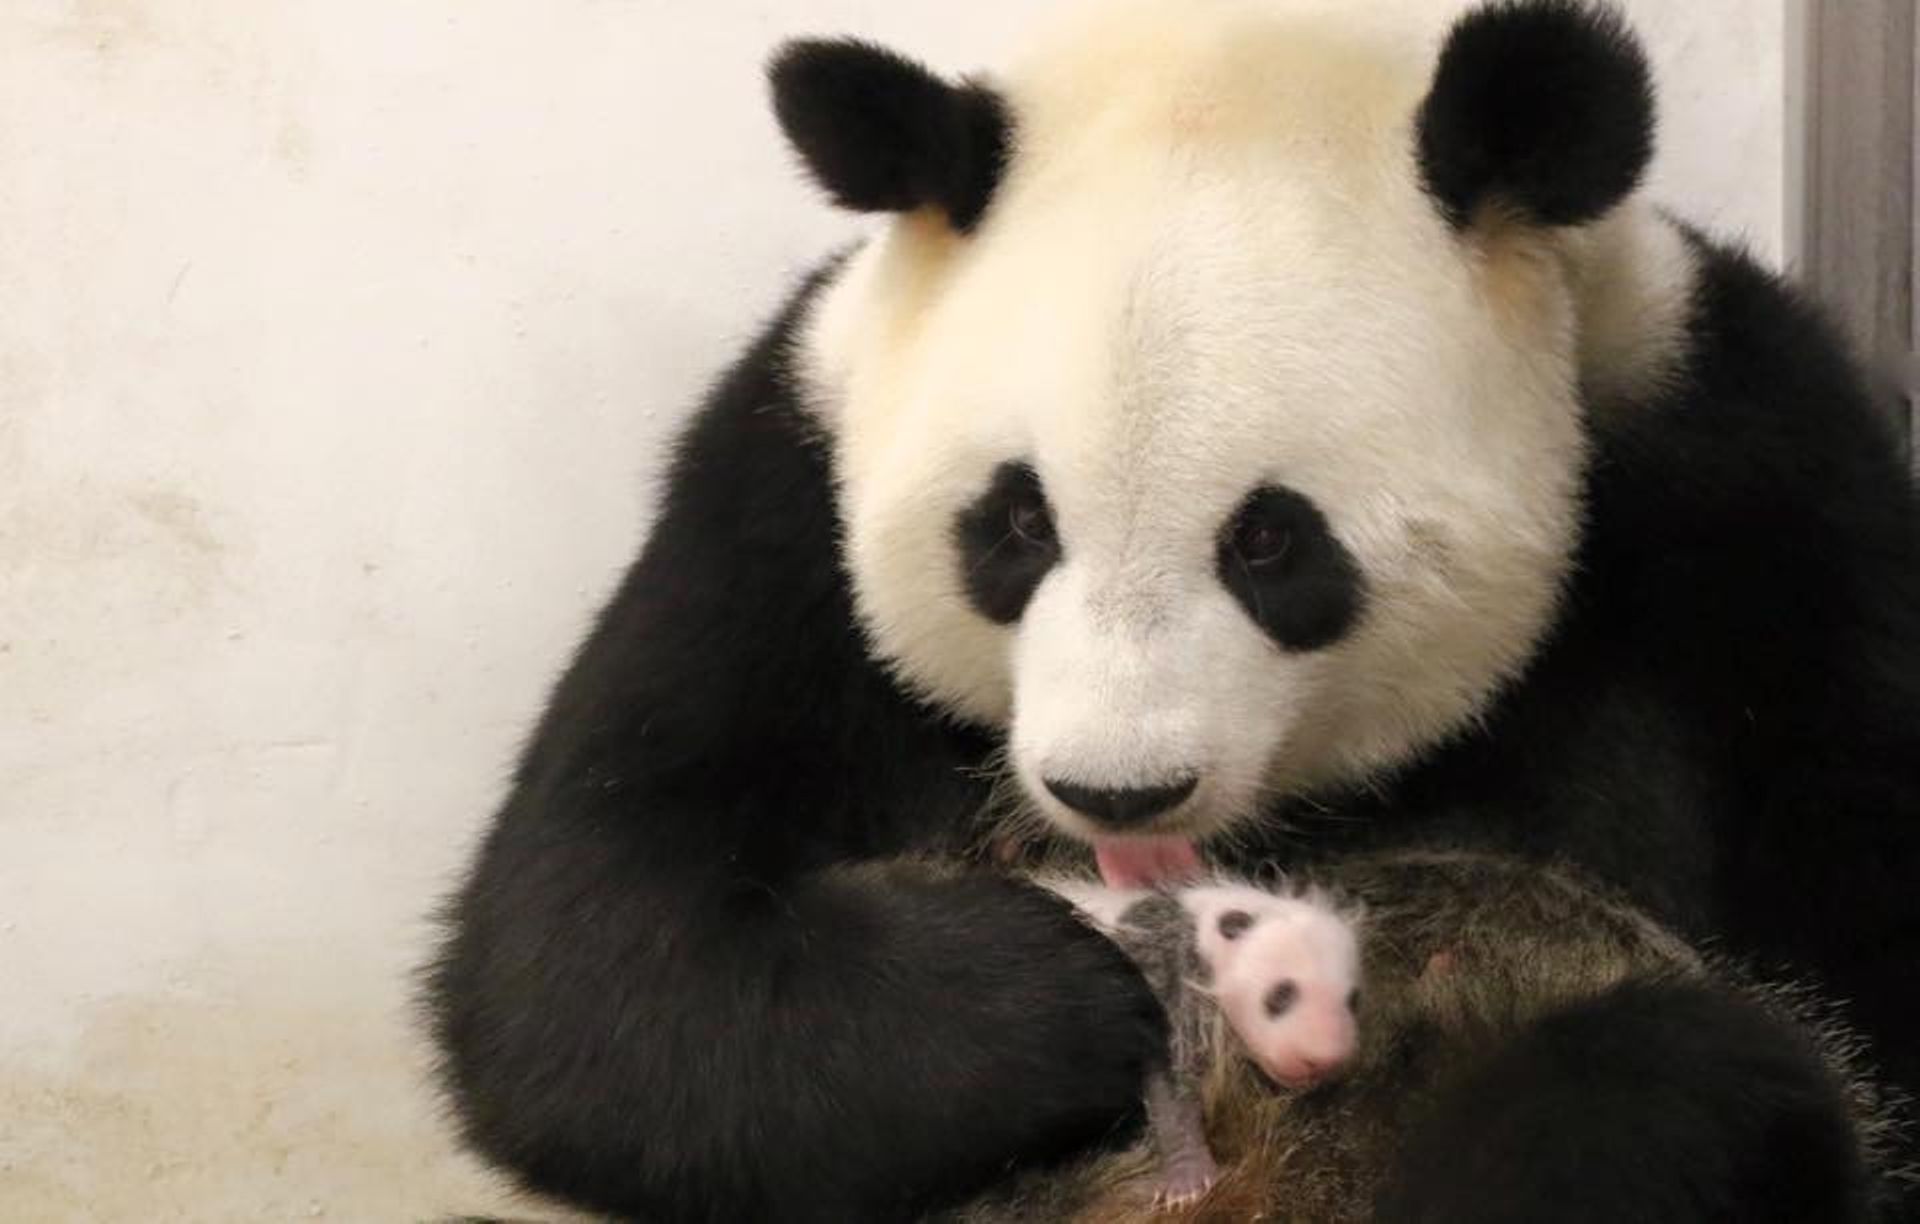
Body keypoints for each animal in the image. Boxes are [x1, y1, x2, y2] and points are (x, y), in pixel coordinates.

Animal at [425, 0, 1920, 1220]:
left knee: (1678, 1079)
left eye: (1269, 541)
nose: (1118, 794)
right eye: (1016, 525)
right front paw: (1068, 987)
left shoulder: (1748, 480)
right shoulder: (778, 491)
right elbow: (596, 947)